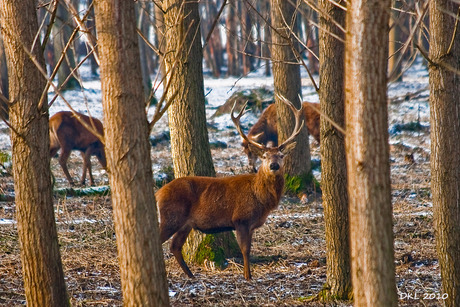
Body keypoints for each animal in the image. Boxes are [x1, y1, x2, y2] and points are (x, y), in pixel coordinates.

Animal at [156, 98, 304, 282]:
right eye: (264, 156)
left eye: (281, 156)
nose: (274, 165)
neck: (260, 197)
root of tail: (158, 193)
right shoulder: (241, 219)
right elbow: (245, 250)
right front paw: (248, 276)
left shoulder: (251, 225)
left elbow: (248, 249)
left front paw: (248, 275)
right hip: (171, 217)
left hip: (186, 224)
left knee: (175, 246)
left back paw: (191, 275)